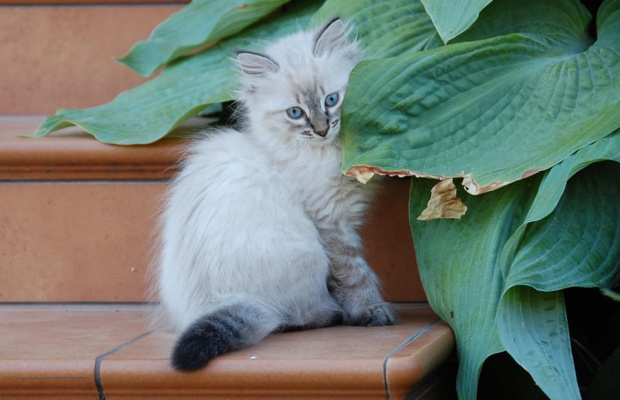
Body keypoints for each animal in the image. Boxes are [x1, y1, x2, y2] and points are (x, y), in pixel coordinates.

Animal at [157, 17, 394, 370]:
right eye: (295, 113)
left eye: (331, 100)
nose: (322, 130)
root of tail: (219, 301)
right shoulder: (331, 223)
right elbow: (355, 275)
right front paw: (372, 312)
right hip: (308, 255)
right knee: (292, 316)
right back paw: (331, 313)